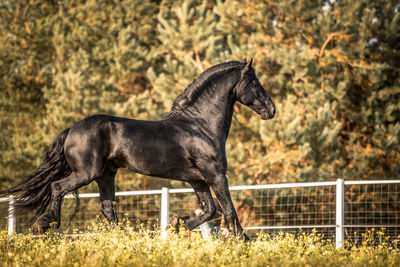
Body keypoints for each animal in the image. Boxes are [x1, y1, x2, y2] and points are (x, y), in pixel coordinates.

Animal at [0, 59, 274, 239]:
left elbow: (209, 210)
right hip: (86, 173)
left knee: (107, 208)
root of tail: (71, 129)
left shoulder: (198, 180)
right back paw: (46, 225)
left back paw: (123, 238)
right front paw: (243, 241)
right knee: (58, 188)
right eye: (254, 82)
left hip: (106, 175)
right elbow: (227, 208)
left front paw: (175, 224)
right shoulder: (215, 174)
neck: (200, 125)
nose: (271, 110)